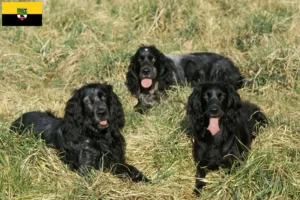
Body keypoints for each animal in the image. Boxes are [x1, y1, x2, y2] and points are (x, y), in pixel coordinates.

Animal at [10, 83, 151, 183]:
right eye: (87, 101)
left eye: (104, 96)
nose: (102, 112)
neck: (98, 136)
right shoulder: (86, 168)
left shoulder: (116, 160)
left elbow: (131, 169)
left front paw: (145, 179)